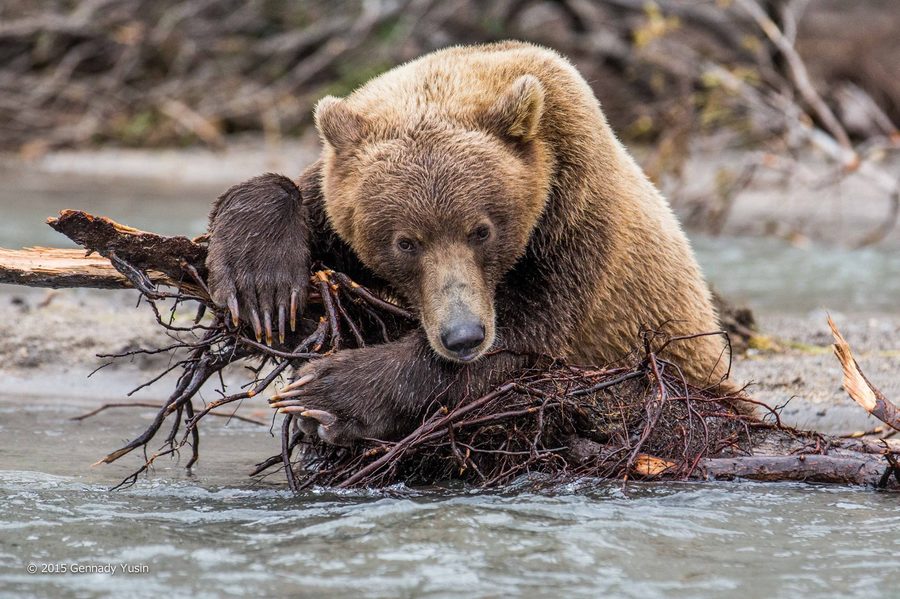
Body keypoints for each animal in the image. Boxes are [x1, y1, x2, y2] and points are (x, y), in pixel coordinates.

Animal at [207, 41, 740, 446]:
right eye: (406, 242)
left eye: (481, 230)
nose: (462, 335)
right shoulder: (336, 198)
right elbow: (295, 199)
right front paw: (263, 290)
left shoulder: (574, 221)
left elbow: (522, 336)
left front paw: (322, 395)